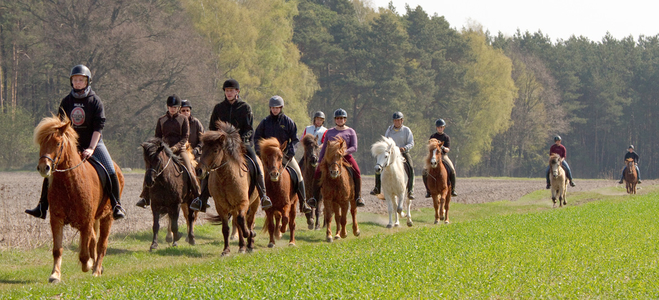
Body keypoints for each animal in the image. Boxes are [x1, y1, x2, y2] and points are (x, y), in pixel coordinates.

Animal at [34, 115, 124, 284]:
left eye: (58, 143)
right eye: (41, 143)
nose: (44, 168)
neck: (69, 182)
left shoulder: (86, 221)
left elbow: (84, 253)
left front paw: (88, 265)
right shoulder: (56, 219)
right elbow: (58, 249)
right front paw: (55, 274)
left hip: (107, 217)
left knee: (102, 244)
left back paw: (96, 270)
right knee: (94, 241)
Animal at [197, 120, 260, 254]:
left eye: (215, 150)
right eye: (203, 149)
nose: (199, 170)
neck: (226, 178)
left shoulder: (243, 202)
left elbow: (242, 220)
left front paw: (249, 233)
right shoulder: (221, 206)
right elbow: (226, 228)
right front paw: (226, 250)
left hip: (255, 203)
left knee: (249, 221)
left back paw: (250, 244)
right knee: (237, 222)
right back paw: (242, 246)